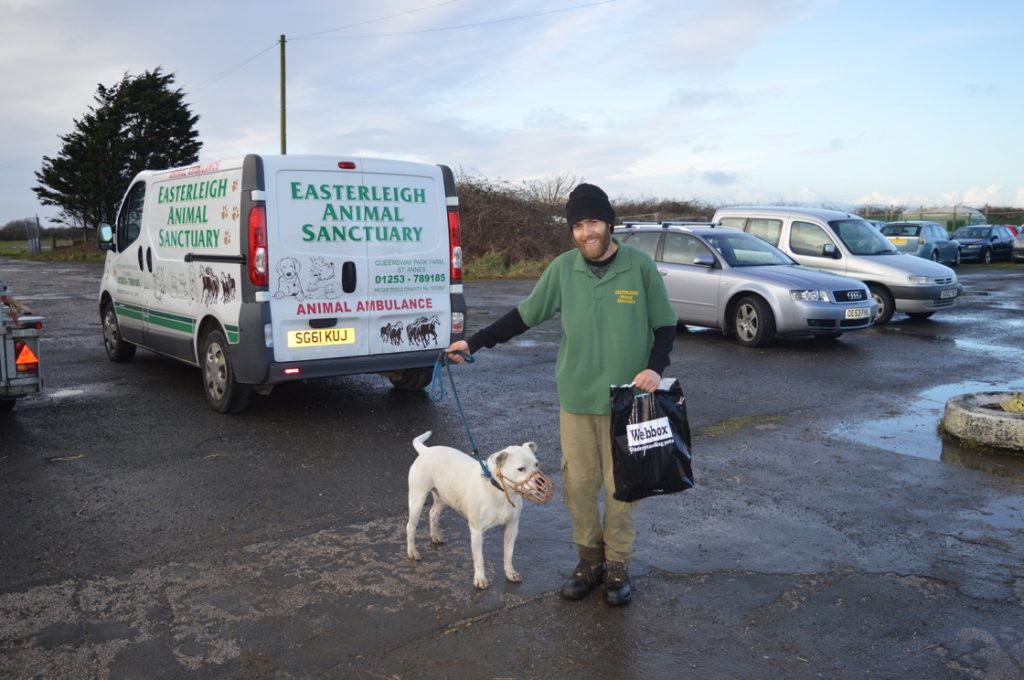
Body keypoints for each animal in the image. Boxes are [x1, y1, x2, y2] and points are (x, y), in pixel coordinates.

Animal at [405, 432, 552, 585]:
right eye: (521, 469)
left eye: (536, 464)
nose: (541, 483)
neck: (499, 490)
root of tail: (426, 451)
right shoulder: (476, 531)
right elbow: (479, 558)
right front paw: (480, 579)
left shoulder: (512, 527)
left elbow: (508, 553)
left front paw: (510, 573)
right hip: (417, 499)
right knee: (411, 526)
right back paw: (412, 552)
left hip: (443, 497)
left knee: (433, 513)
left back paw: (435, 536)